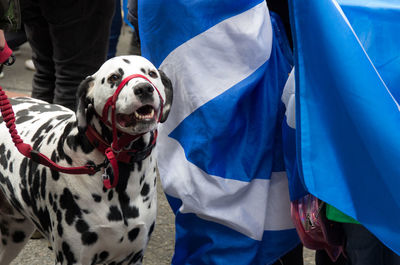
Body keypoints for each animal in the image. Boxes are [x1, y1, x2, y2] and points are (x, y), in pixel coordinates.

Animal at [0, 54, 172, 262]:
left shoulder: (133, 256)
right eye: (114, 77)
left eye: (151, 74)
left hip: (14, 236)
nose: (144, 88)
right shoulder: (72, 257)